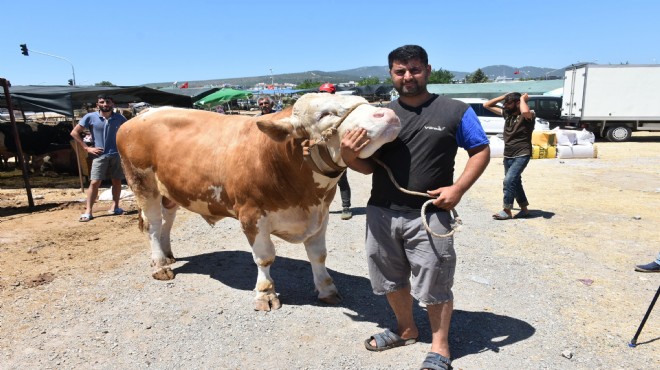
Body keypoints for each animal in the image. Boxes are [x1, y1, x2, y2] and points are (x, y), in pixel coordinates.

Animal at [116, 94, 400, 310]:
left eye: (362, 101)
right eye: (325, 114)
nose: (387, 115)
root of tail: (142, 115)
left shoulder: (322, 214)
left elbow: (318, 254)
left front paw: (327, 289)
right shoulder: (251, 216)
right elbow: (264, 258)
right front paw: (266, 294)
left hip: (170, 191)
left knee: (167, 220)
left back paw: (167, 255)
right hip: (142, 183)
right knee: (153, 224)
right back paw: (159, 265)